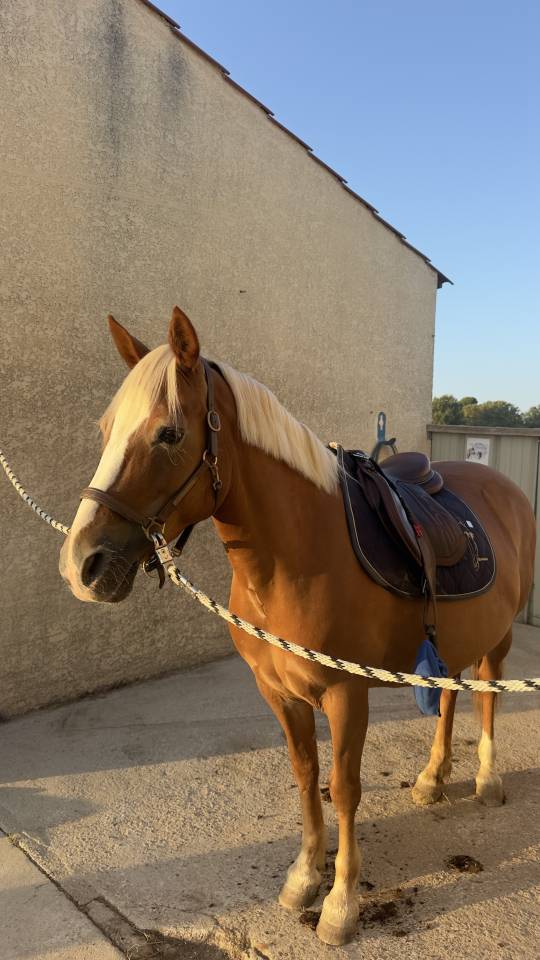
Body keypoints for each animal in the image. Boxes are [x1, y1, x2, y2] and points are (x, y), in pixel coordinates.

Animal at [59, 306, 536, 946]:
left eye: (169, 434)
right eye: (106, 429)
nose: (81, 565)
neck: (299, 556)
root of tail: (504, 487)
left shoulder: (346, 695)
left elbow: (345, 789)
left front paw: (341, 904)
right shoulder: (279, 694)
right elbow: (307, 777)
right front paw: (305, 876)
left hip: (498, 639)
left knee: (486, 697)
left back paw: (485, 781)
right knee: (451, 696)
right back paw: (433, 778)